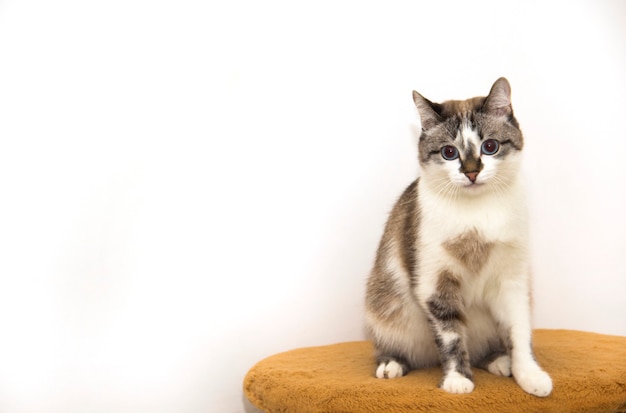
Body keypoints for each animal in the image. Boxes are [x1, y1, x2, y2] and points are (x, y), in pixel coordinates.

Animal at [364, 77, 548, 396]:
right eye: (449, 152)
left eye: (490, 146)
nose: (472, 172)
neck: (477, 213)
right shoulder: (434, 283)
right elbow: (451, 335)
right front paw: (457, 379)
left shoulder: (513, 279)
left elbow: (519, 330)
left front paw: (530, 375)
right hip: (384, 304)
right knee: (390, 338)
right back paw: (391, 363)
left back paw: (499, 360)